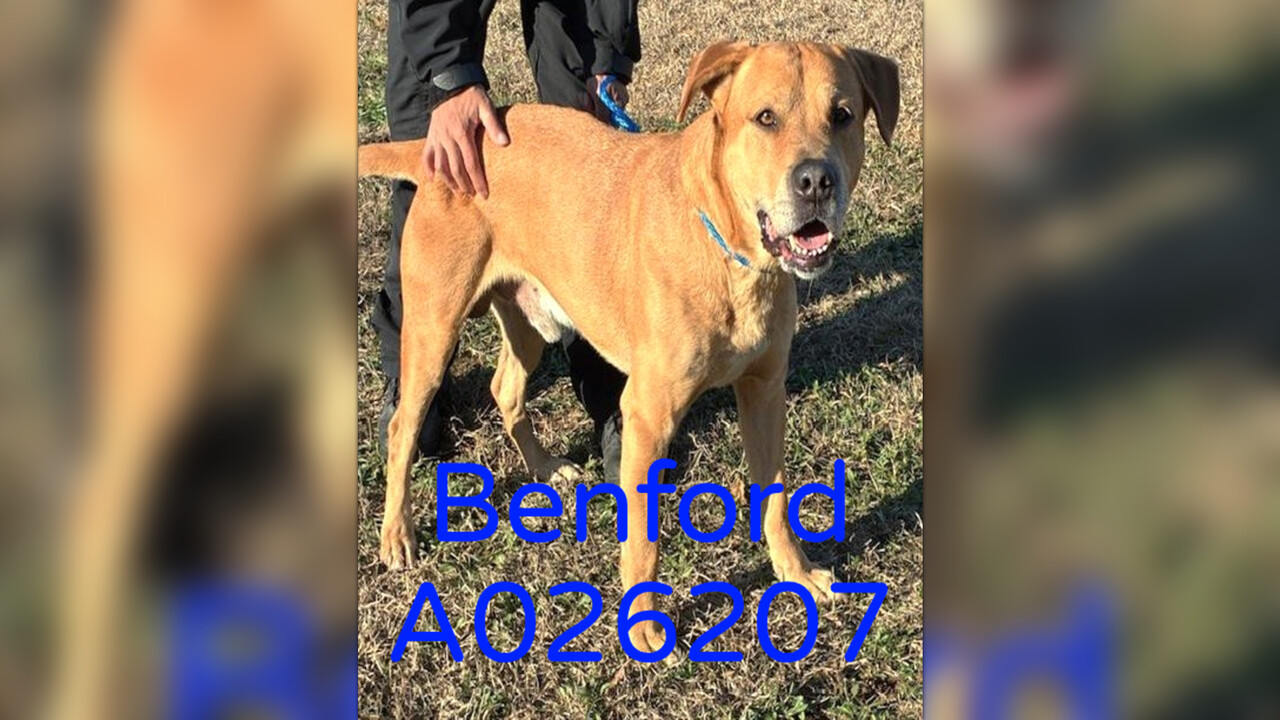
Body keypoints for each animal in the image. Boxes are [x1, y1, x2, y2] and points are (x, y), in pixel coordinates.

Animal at [359, 41, 899, 653]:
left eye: (843, 115)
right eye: (765, 118)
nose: (816, 182)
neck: (734, 259)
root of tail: (440, 147)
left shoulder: (764, 393)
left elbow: (778, 499)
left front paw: (797, 574)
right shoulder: (648, 413)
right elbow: (643, 537)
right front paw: (643, 624)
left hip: (528, 318)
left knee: (505, 388)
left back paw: (544, 467)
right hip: (433, 329)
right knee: (403, 428)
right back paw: (397, 534)